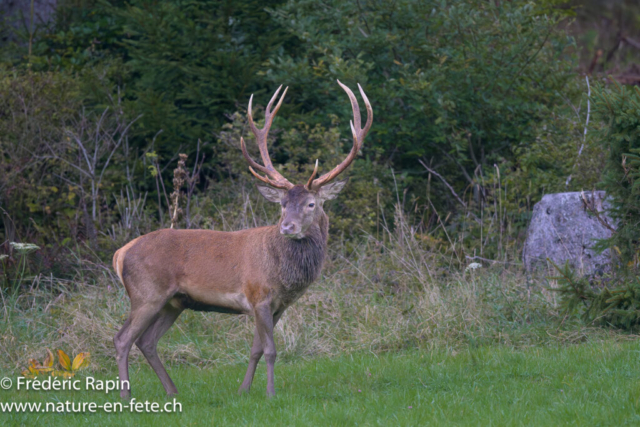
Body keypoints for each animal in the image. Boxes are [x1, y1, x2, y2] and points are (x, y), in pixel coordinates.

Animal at [112, 80, 372, 399]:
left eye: (311, 203)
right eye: (282, 204)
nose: (287, 227)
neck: (283, 273)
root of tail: (121, 253)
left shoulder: (278, 305)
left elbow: (256, 349)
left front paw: (244, 390)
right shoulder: (258, 294)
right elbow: (271, 350)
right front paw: (271, 393)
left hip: (174, 302)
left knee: (146, 341)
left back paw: (172, 391)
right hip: (146, 292)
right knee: (122, 339)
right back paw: (126, 395)